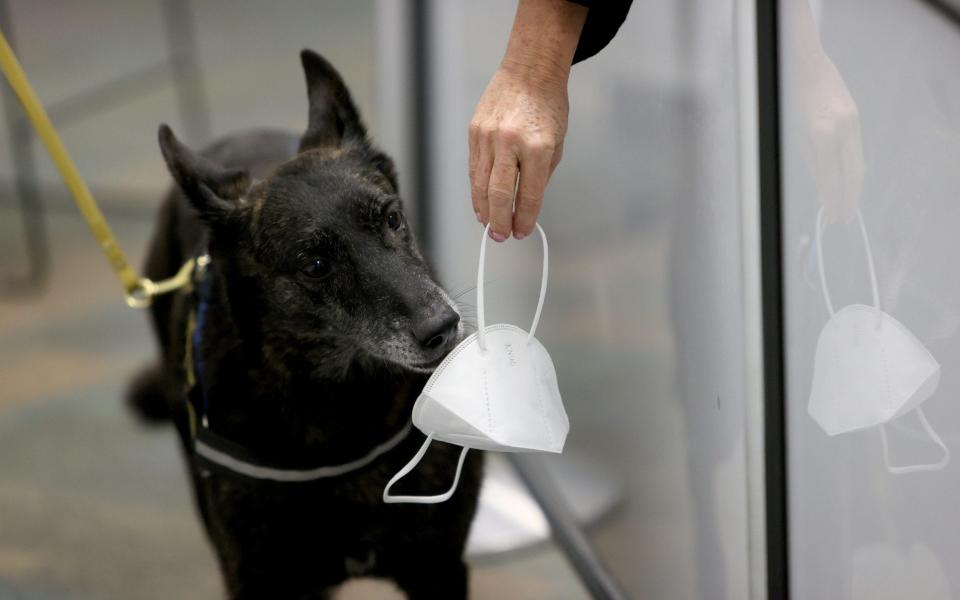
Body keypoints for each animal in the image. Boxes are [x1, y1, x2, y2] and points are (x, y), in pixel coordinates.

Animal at [129, 49, 480, 596]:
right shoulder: (258, 577)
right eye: (315, 265)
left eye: (393, 219)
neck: (341, 406)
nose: (442, 327)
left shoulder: (438, 567)